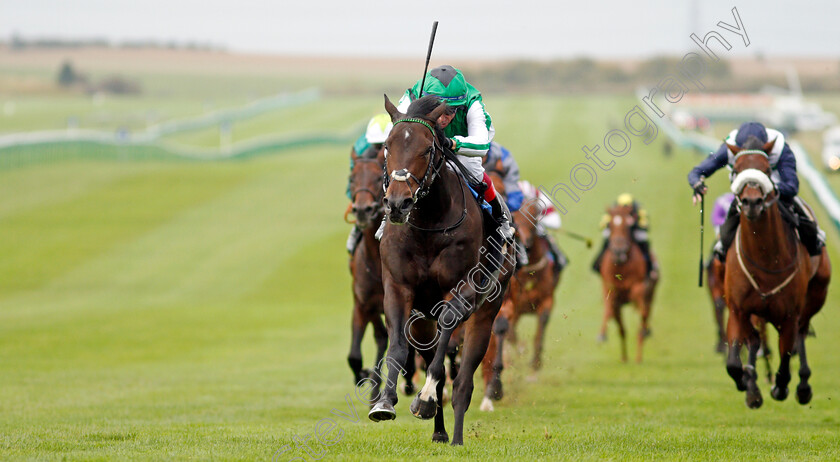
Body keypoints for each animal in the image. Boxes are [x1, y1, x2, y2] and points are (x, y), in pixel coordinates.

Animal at [370, 95, 516, 446]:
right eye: (388, 147)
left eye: (426, 149)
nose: (398, 203)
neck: (428, 224)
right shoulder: (398, 288)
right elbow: (398, 343)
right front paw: (384, 402)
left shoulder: (462, 289)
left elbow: (448, 330)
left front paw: (424, 398)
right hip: (424, 319)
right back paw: (439, 430)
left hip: (486, 312)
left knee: (463, 380)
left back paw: (455, 434)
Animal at [720, 137, 832, 408]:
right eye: (736, 170)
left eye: (767, 171)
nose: (751, 202)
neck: (764, 257)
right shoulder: (738, 309)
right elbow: (733, 363)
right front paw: (747, 383)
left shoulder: (790, 314)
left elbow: (785, 361)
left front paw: (780, 387)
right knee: (755, 340)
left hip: (814, 296)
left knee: (801, 333)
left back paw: (803, 385)